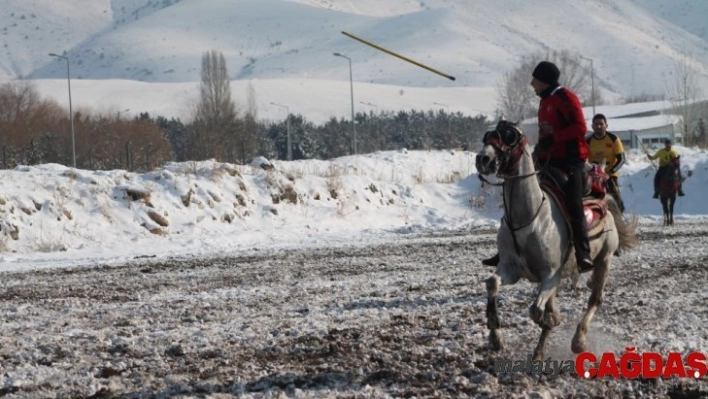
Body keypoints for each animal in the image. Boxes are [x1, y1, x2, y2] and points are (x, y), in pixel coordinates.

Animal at [476, 120, 636, 360]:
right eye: (487, 136)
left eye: (510, 136)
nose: (482, 159)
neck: (530, 218)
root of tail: (604, 199)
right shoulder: (511, 269)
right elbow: (492, 283)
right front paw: (496, 338)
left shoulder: (551, 275)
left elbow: (536, 311)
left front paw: (552, 320)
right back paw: (540, 350)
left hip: (604, 260)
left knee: (595, 299)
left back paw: (578, 340)